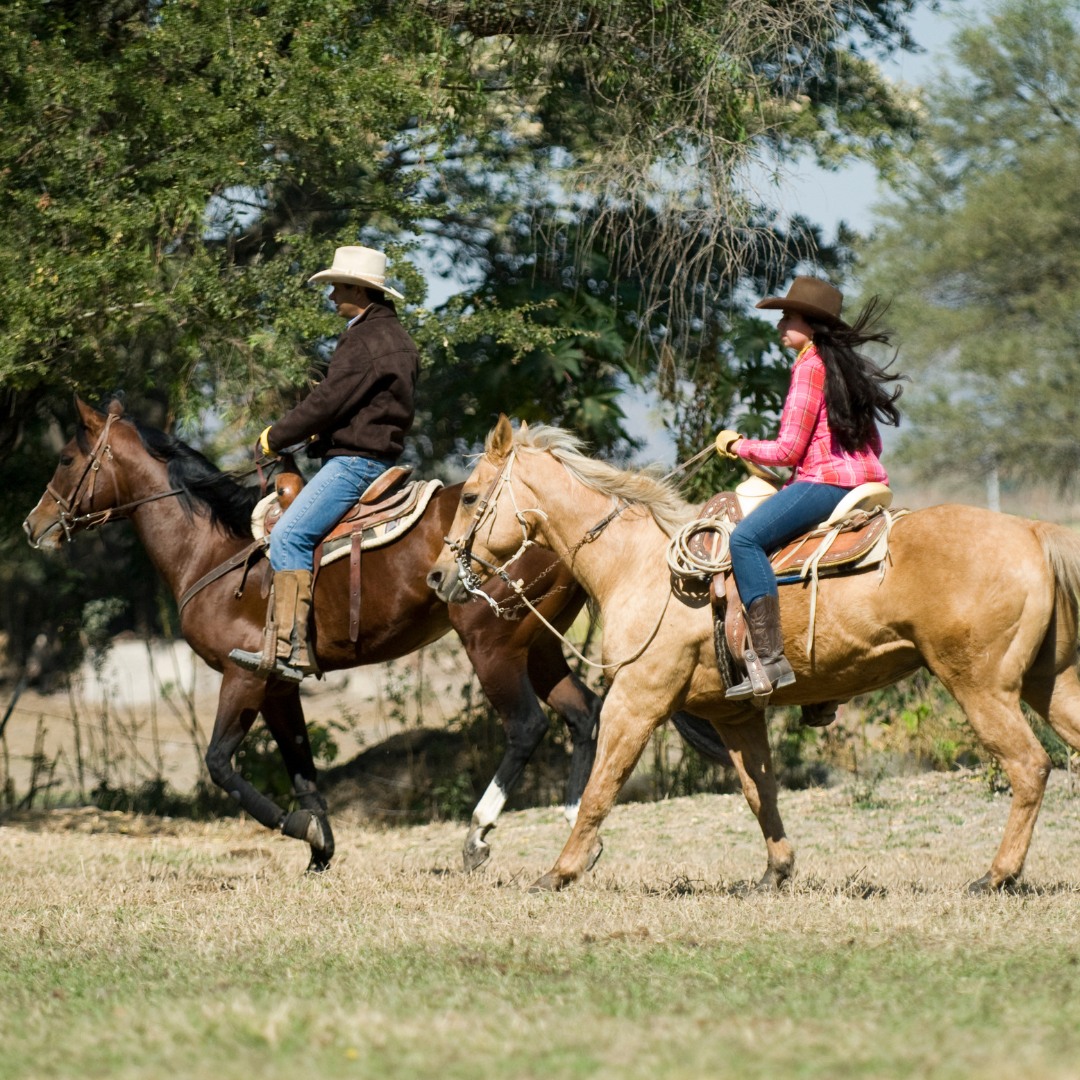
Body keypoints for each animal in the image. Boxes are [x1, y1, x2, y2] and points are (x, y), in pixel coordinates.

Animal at [21, 398, 612, 872]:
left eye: (67, 459)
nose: (33, 524)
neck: (211, 549)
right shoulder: (279, 685)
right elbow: (302, 768)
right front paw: (319, 848)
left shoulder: (243, 677)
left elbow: (219, 764)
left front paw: (302, 832)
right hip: (537, 643)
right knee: (584, 714)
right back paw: (577, 827)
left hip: (491, 646)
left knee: (528, 726)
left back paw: (478, 835)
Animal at [428, 415, 1080, 893]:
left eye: (473, 497)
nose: (438, 575)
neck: (641, 564)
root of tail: (1033, 531)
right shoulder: (734, 713)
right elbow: (758, 790)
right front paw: (775, 872)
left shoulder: (636, 703)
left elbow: (601, 789)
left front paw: (559, 872)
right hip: (1049, 684)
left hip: (980, 686)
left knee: (1028, 766)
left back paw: (996, 876)